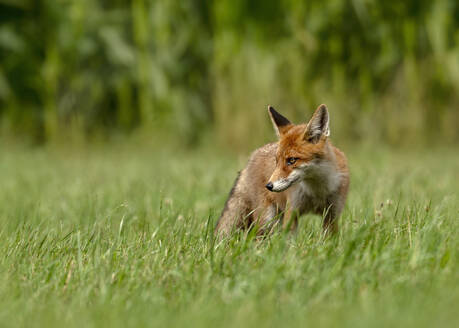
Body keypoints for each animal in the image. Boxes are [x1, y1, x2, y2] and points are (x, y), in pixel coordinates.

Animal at [216, 104, 348, 237]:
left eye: (292, 160)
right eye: (277, 161)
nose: (269, 186)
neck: (317, 191)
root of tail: (251, 159)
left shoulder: (332, 215)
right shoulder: (292, 212)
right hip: (266, 220)